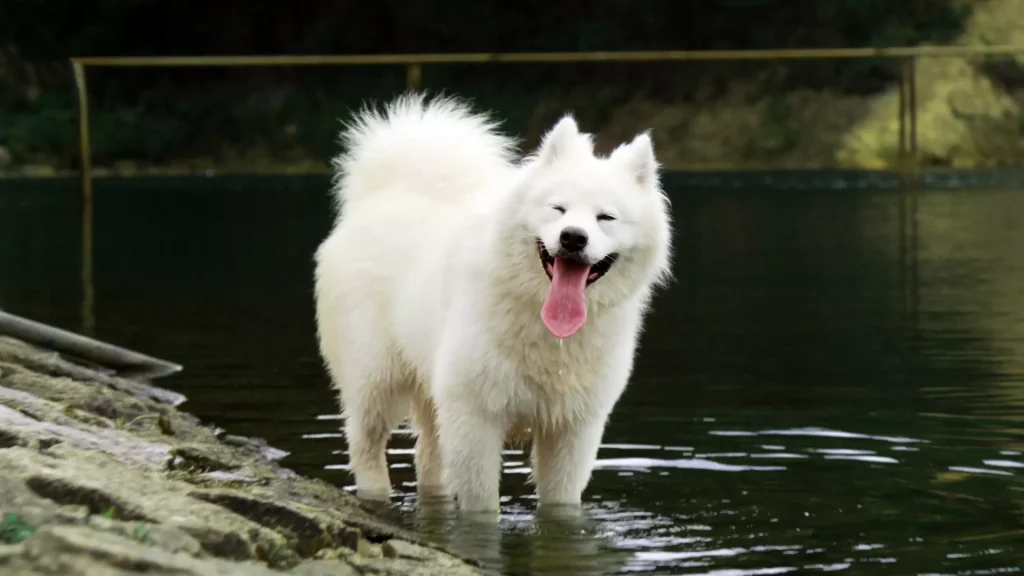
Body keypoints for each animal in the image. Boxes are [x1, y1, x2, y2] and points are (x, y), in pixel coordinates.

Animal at [315, 94, 675, 510]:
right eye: (558, 209)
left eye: (606, 218)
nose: (573, 237)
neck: (544, 325)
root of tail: (386, 193)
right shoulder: (475, 418)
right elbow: (482, 506)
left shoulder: (572, 428)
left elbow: (560, 505)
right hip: (376, 381)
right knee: (366, 446)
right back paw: (375, 495)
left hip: (432, 392)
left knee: (429, 460)